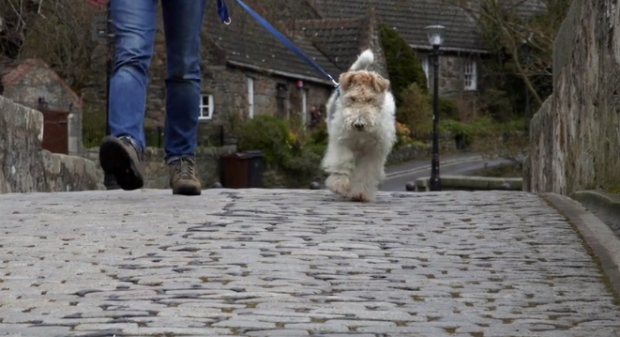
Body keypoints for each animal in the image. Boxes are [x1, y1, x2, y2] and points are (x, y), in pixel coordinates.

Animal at [322, 48, 394, 201]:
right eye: (352, 98)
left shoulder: (372, 152)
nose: (359, 124)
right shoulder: (342, 143)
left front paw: (360, 193)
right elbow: (342, 163)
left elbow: (365, 173)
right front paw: (339, 184)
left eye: (370, 99)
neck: (361, 137)